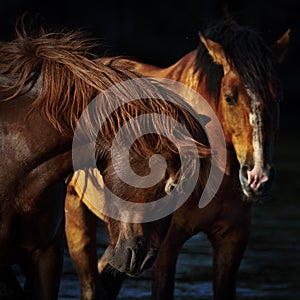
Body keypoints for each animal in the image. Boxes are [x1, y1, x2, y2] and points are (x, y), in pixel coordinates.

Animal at [63, 19, 290, 298]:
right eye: (229, 97)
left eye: (277, 97)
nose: (258, 177)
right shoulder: (165, 247)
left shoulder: (231, 242)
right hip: (77, 214)